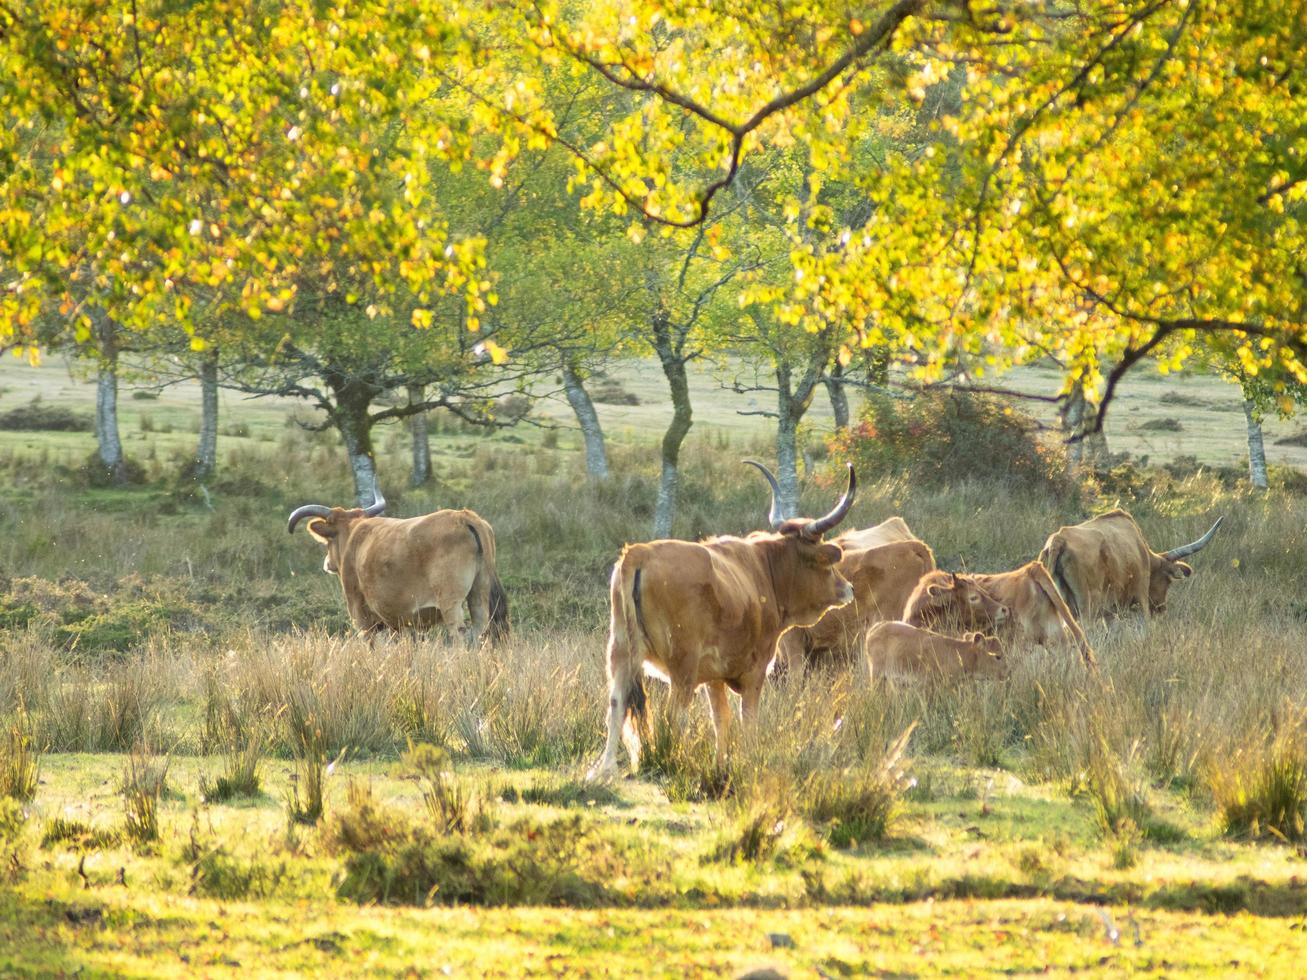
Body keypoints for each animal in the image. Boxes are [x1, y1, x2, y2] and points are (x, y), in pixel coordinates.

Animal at [288, 488, 507, 645]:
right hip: (479, 597)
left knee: (459, 634)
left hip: (450, 603)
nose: (327, 563)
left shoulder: (362, 617)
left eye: (329, 540)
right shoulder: (397, 623)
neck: (355, 536)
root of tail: (464, 517)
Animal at [590, 467, 857, 783]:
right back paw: (673, 762)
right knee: (673, 715)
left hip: (621, 652)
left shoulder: (713, 677)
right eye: (827, 564)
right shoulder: (754, 671)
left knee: (616, 705)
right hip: (682, 667)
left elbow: (721, 719)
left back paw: (605, 769)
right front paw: (749, 761)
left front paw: (721, 766)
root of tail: (640, 552)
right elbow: (748, 719)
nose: (848, 588)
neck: (764, 572)